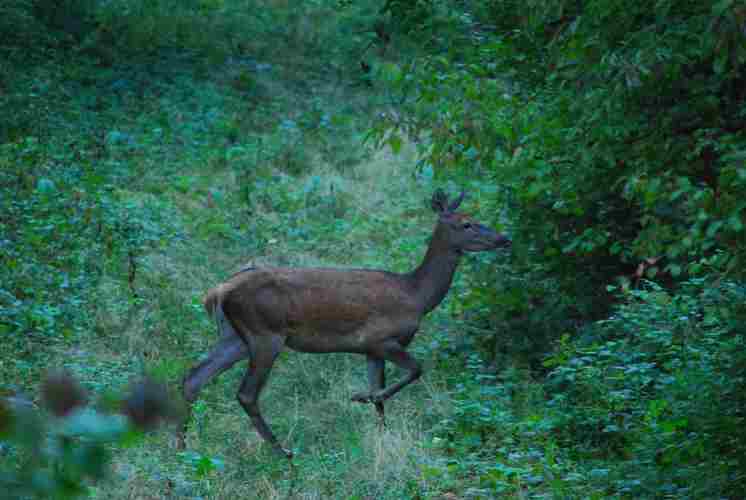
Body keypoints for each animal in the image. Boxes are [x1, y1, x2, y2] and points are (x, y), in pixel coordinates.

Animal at [177, 188, 508, 458]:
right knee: (246, 393)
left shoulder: (371, 350)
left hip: (234, 337)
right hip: (265, 334)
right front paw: (361, 396)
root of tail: (217, 292)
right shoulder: (381, 339)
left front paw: (381, 435)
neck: (417, 295)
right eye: (466, 223)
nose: (504, 238)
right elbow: (415, 370)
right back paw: (282, 451)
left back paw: (181, 447)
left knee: (194, 377)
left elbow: (382, 400)